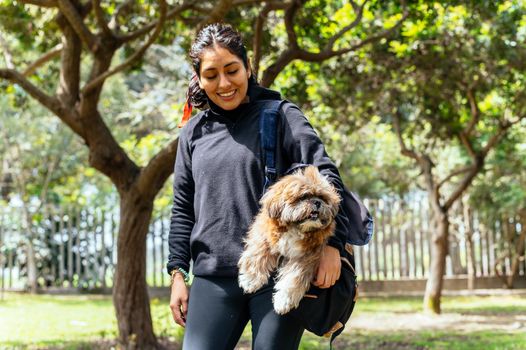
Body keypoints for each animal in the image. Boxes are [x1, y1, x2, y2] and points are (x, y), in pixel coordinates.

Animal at [239, 165, 342, 314]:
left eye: (322, 197)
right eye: (304, 196)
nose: (317, 202)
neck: (295, 227)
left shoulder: (305, 257)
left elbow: (294, 277)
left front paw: (284, 300)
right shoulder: (264, 235)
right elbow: (257, 255)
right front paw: (250, 279)